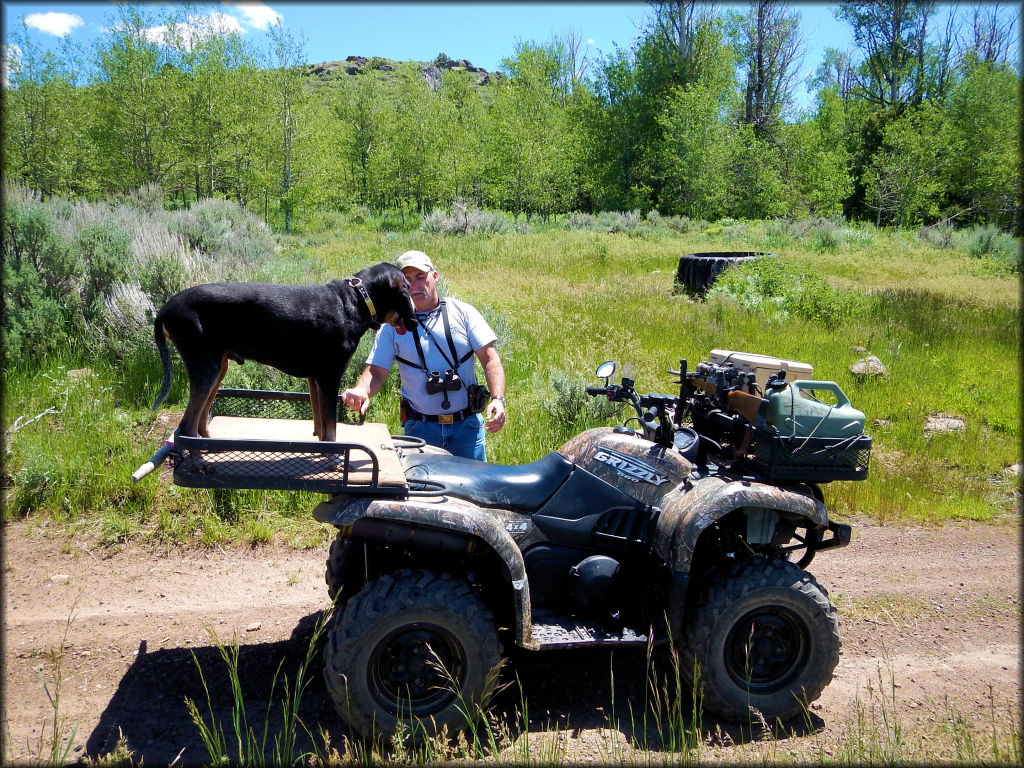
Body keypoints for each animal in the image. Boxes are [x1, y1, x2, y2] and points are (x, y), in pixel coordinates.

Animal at [152, 264, 415, 444]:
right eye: (408, 289)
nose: (414, 318)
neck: (357, 299)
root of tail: (165, 309)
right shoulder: (329, 378)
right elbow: (331, 432)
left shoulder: (315, 380)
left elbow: (322, 429)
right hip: (207, 367)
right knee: (187, 426)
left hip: (218, 367)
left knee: (200, 420)